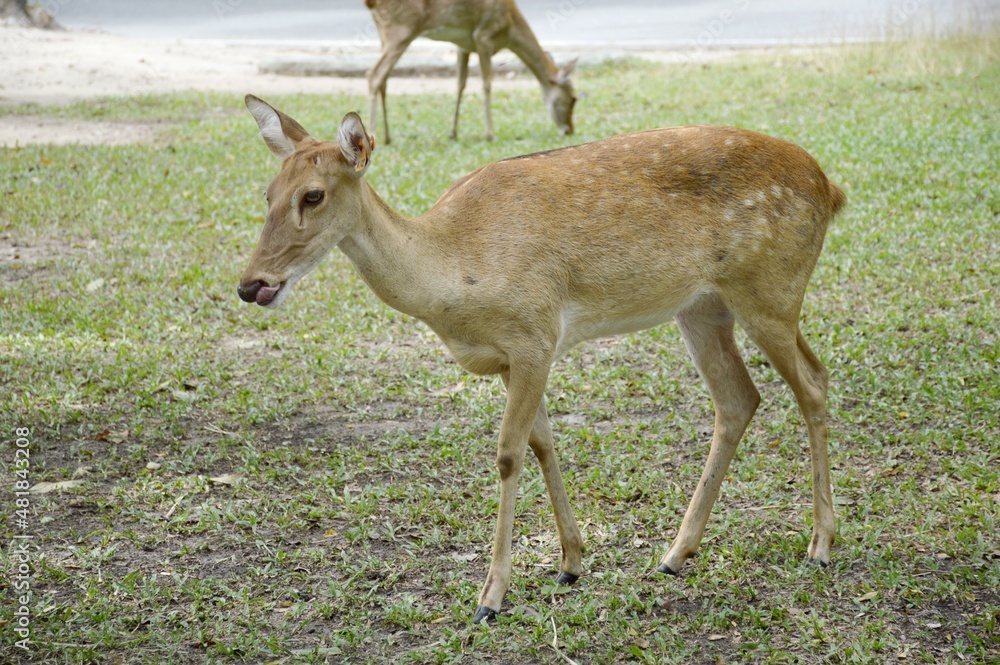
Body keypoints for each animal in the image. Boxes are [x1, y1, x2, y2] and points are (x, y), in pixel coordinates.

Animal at [237, 94, 846, 624]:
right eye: (267, 192)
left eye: (313, 195)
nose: (252, 284)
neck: (453, 274)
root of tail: (831, 188)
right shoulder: (513, 357)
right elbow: (542, 442)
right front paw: (571, 563)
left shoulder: (535, 334)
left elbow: (508, 453)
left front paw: (491, 597)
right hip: (702, 306)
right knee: (740, 397)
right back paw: (675, 554)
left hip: (769, 290)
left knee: (813, 383)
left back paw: (819, 544)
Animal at [364, 0, 577, 144]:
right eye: (574, 98)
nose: (570, 130)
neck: (509, 29)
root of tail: (371, 3)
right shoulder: (484, 36)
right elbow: (487, 85)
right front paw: (491, 134)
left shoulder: (463, 45)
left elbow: (460, 84)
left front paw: (453, 133)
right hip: (401, 29)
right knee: (374, 74)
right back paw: (374, 136)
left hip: (383, 31)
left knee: (384, 79)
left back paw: (388, 137)